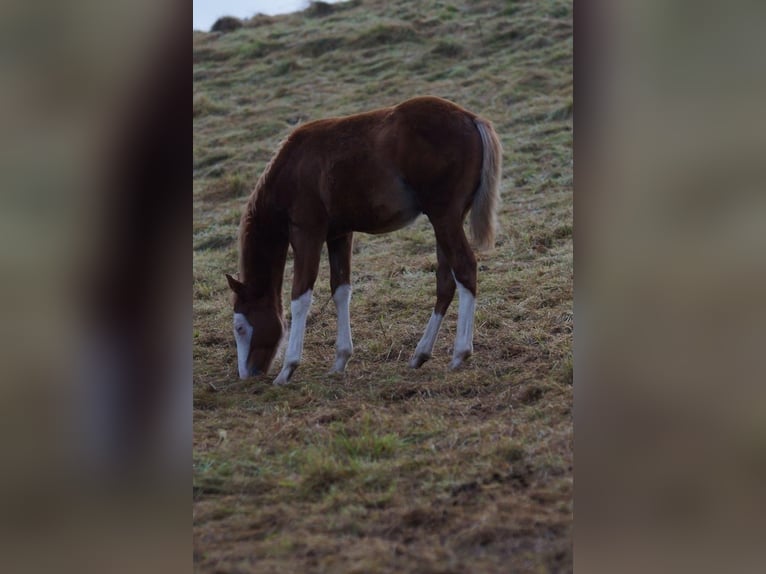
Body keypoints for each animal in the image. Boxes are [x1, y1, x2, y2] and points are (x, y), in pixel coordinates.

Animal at [226, 97, 504, 388]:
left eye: (240, 327)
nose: (247, 374)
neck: (292, 168)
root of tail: (471, 118)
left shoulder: (307, 233)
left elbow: (300, 296)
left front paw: (288, 369)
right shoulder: (339, 235)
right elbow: (341, 289)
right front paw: (340, 360)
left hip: (444, 218)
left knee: (465, 268)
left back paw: (460, 353)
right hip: (446, 222)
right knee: (446, 282)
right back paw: (421, 353)